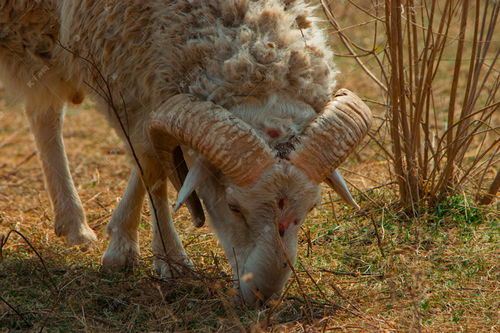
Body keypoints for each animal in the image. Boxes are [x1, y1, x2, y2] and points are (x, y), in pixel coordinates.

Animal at [0, 0, 372, 304]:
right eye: (233, 207)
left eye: (311, 207)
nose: (263, 296)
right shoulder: (122, 74)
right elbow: (150, 163)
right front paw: (163, 259)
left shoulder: (146, 84)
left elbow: (150, 159)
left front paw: (130, 243)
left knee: (43, 112)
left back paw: (73, 224)